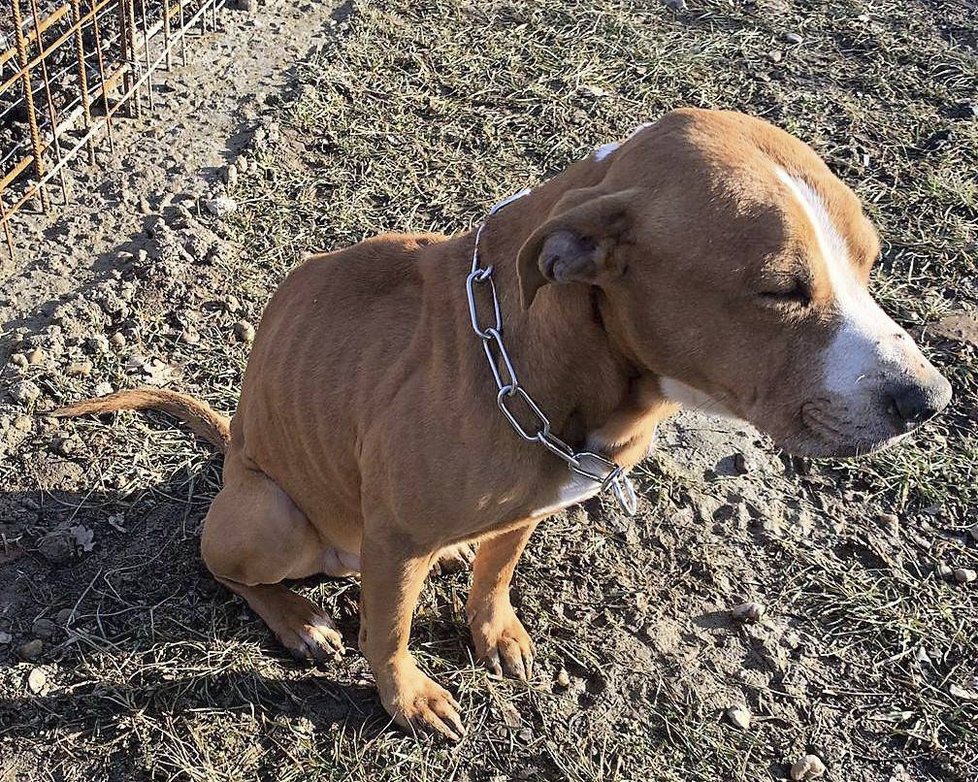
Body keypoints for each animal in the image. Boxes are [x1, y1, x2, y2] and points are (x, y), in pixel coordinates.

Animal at [57, 108, 948, 740]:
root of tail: (234, 448)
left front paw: (493, 628)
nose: (929, 400)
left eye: (870, 262)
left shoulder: (533, 502)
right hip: (269, 515)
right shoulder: (395, 540)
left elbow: (497, 572)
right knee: (228, 568)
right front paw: (408, 698)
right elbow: (388, 634)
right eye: (778, 289)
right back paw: (301, 621)